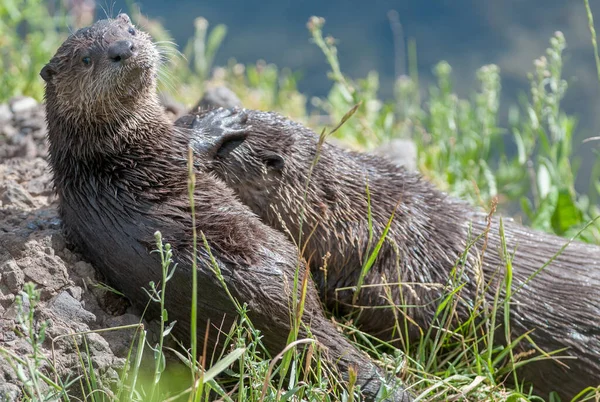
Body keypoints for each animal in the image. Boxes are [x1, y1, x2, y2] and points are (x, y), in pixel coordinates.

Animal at [39, 14, 410, 400]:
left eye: (128, 30)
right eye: (86, 59)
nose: (123, 49)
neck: (104, 145)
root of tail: (286, 313)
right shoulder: (173, 146)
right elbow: (197, 147)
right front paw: (221, 120)